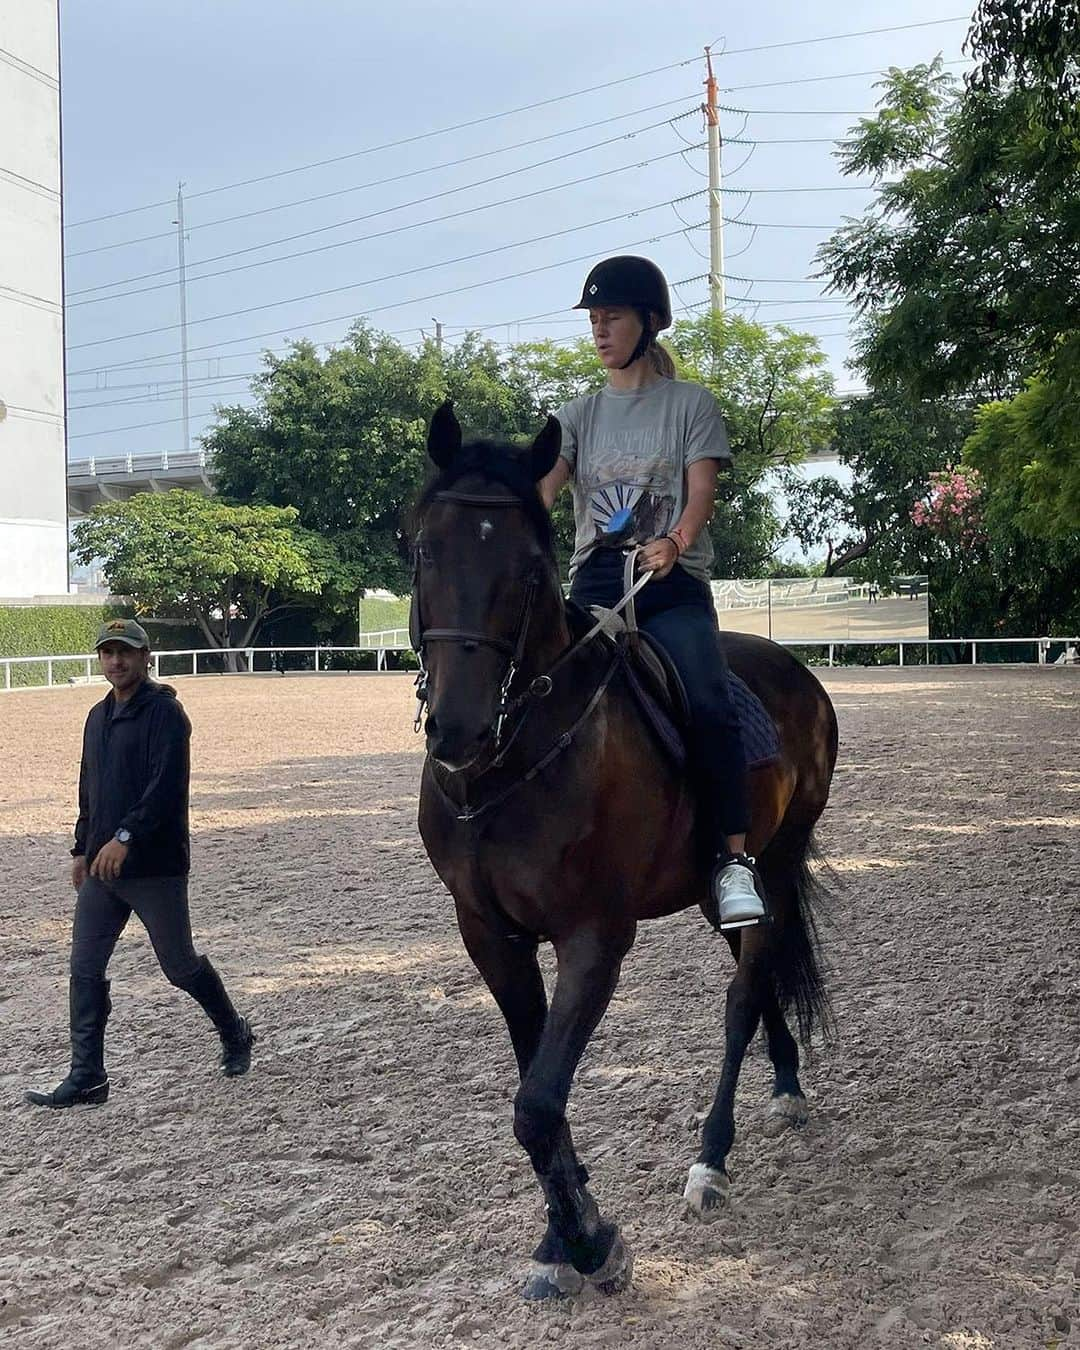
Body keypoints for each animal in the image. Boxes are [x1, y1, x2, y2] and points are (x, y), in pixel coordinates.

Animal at [410, 405, 837, 1301]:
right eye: (425, 549)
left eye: (529, 568)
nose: (458, 729)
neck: (512, 759)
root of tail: (796, 672)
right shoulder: (490, 937)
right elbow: (537, 1087)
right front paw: (556, 1240)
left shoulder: (595, 937)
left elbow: (538, 1103)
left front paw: (591, 1243)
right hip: (722, 885)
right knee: (759, 968)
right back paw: (784, 1086)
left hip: (778, 863)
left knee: (744, 995)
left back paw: (712, 1159)